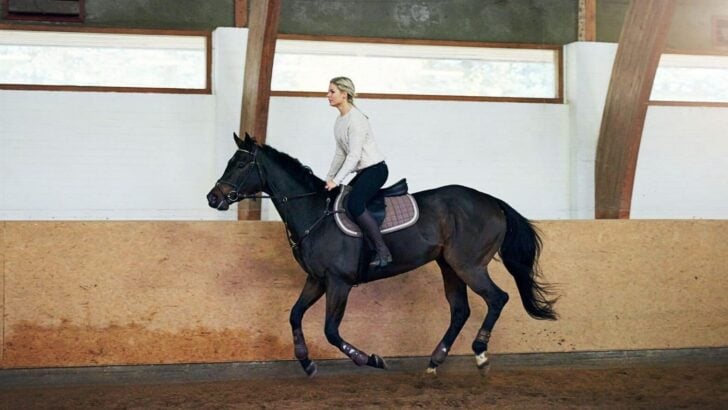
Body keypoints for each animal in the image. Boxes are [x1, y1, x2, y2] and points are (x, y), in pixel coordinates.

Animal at [207, 133, 557, 377]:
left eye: (240, 164)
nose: (213, 198)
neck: (315, 212)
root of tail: (493, 201)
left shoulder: (339, 282)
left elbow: (331, 331)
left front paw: (370, 359)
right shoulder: (317, 280)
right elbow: (294, 315)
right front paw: (306, 363)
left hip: (468, 265)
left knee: (497, 298)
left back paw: (481, 354)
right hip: (449, 265)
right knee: (460, 310)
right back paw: (435, 361)